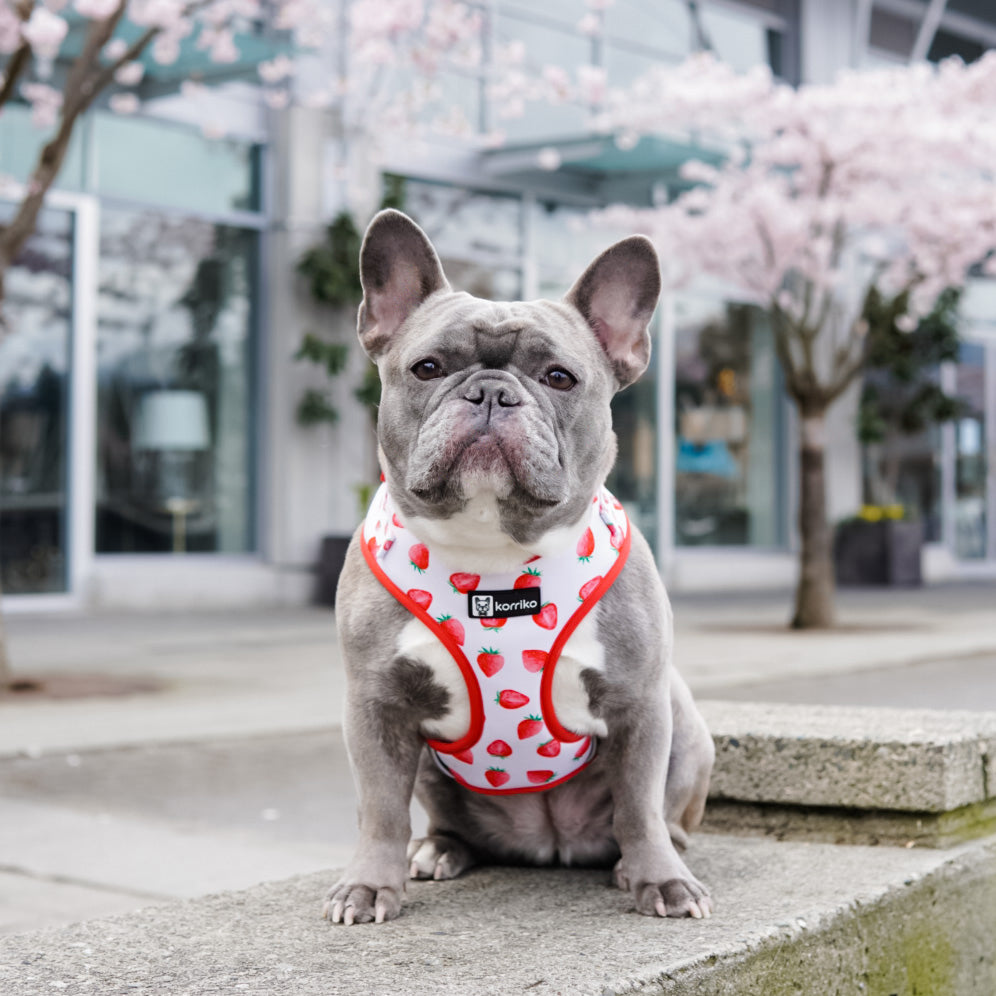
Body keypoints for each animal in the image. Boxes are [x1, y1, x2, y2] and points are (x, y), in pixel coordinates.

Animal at [326, 210, 716, 924]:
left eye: (560, 377)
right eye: (427, 368)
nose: (490, 392)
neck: (493, 556)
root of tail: (551, 842)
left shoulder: (640, 704)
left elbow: (640, 805)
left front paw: (661, 881)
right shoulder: (376, 704)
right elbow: (380, 810)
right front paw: (368, 885)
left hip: (684, 723)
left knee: (659, 818)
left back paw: (640, 866)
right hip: (432, 768)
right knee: (438, 819)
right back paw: (437, 851)